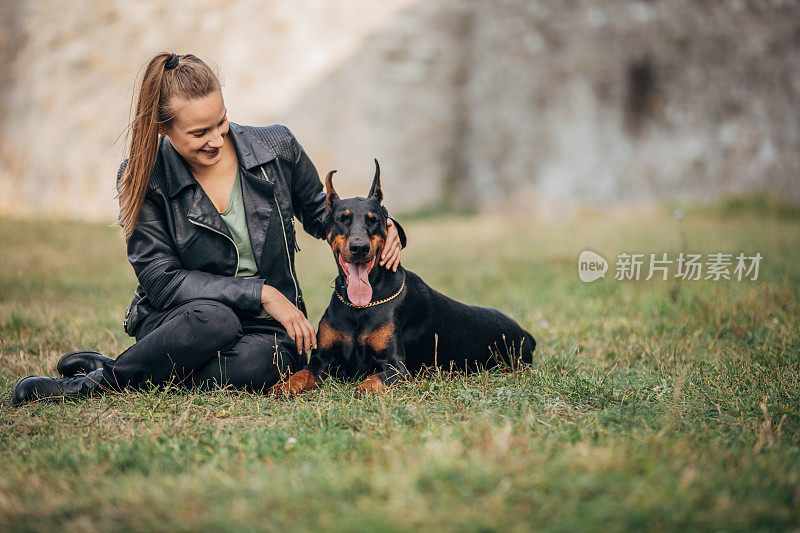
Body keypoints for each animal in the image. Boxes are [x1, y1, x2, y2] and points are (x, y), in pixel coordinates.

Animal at [270, 160, 536, 396]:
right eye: (342, 219)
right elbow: (302, 373)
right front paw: (283, 386)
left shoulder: (396, 366)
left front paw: (361, 389)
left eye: (374, 220)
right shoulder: (322, 358)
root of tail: (526, 333)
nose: (359, 248)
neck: (360, 307)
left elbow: (372, 379)